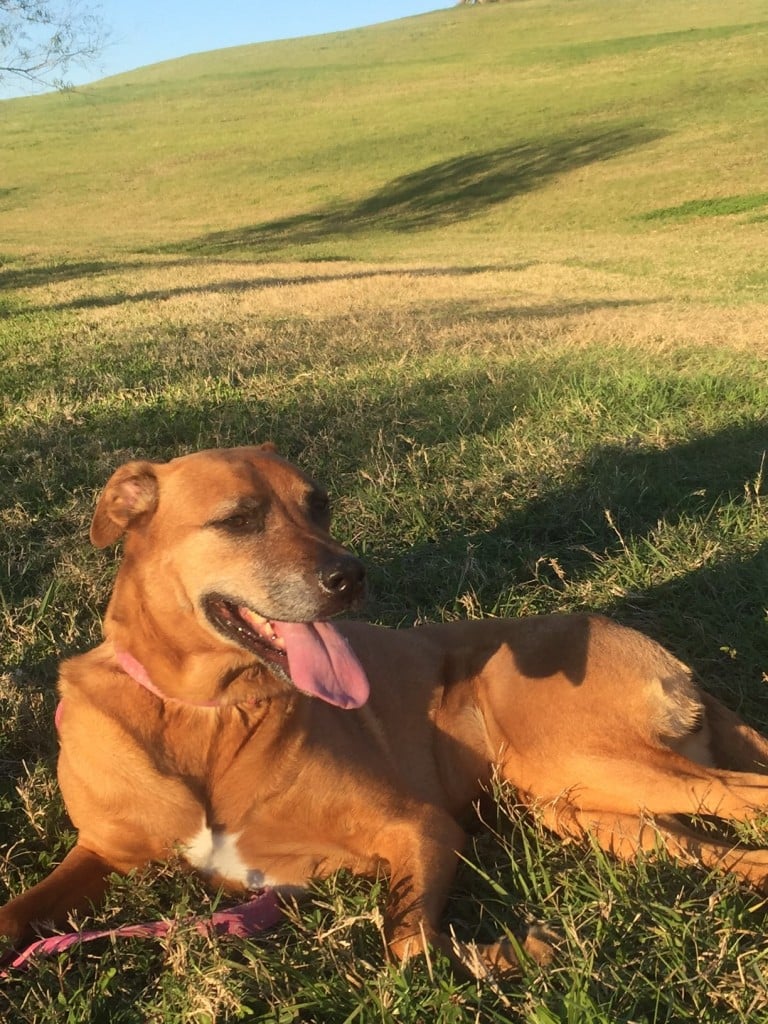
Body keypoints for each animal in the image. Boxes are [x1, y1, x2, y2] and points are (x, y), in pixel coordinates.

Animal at [1, 444, 768, 970]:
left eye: (319, 505)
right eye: (240, 520)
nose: (351, 576)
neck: (204, 714)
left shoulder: (417, 828)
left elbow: (408, 946)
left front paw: (493, 958)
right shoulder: (104, 850)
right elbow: (18, 910)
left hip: (575, 754)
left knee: (748, 795)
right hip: (582, 807)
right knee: (712, 845)